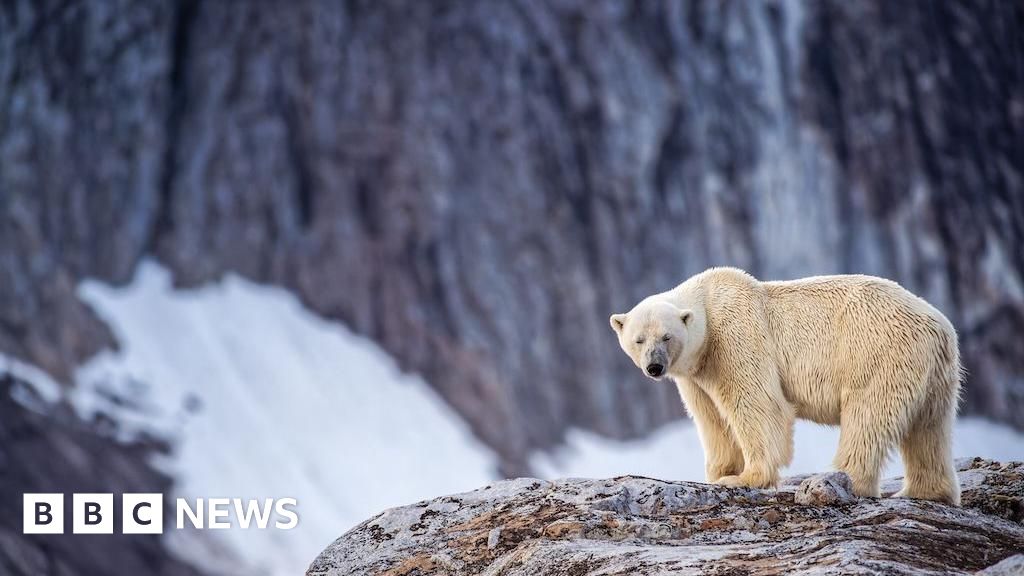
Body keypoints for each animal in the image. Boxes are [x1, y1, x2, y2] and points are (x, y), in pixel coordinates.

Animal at [609, 267, 962, 505]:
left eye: (666, 337)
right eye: (639, 339)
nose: (654, 367)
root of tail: (940, 327)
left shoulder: (736, 336)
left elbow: (758, 404)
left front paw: (744, 478)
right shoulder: (697, 373)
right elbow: (711, 419)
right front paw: (719, 473)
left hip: (877, 351)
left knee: (868, 415)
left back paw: (840, 480)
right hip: (935, 374)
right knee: (929, 428)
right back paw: (925, 491)